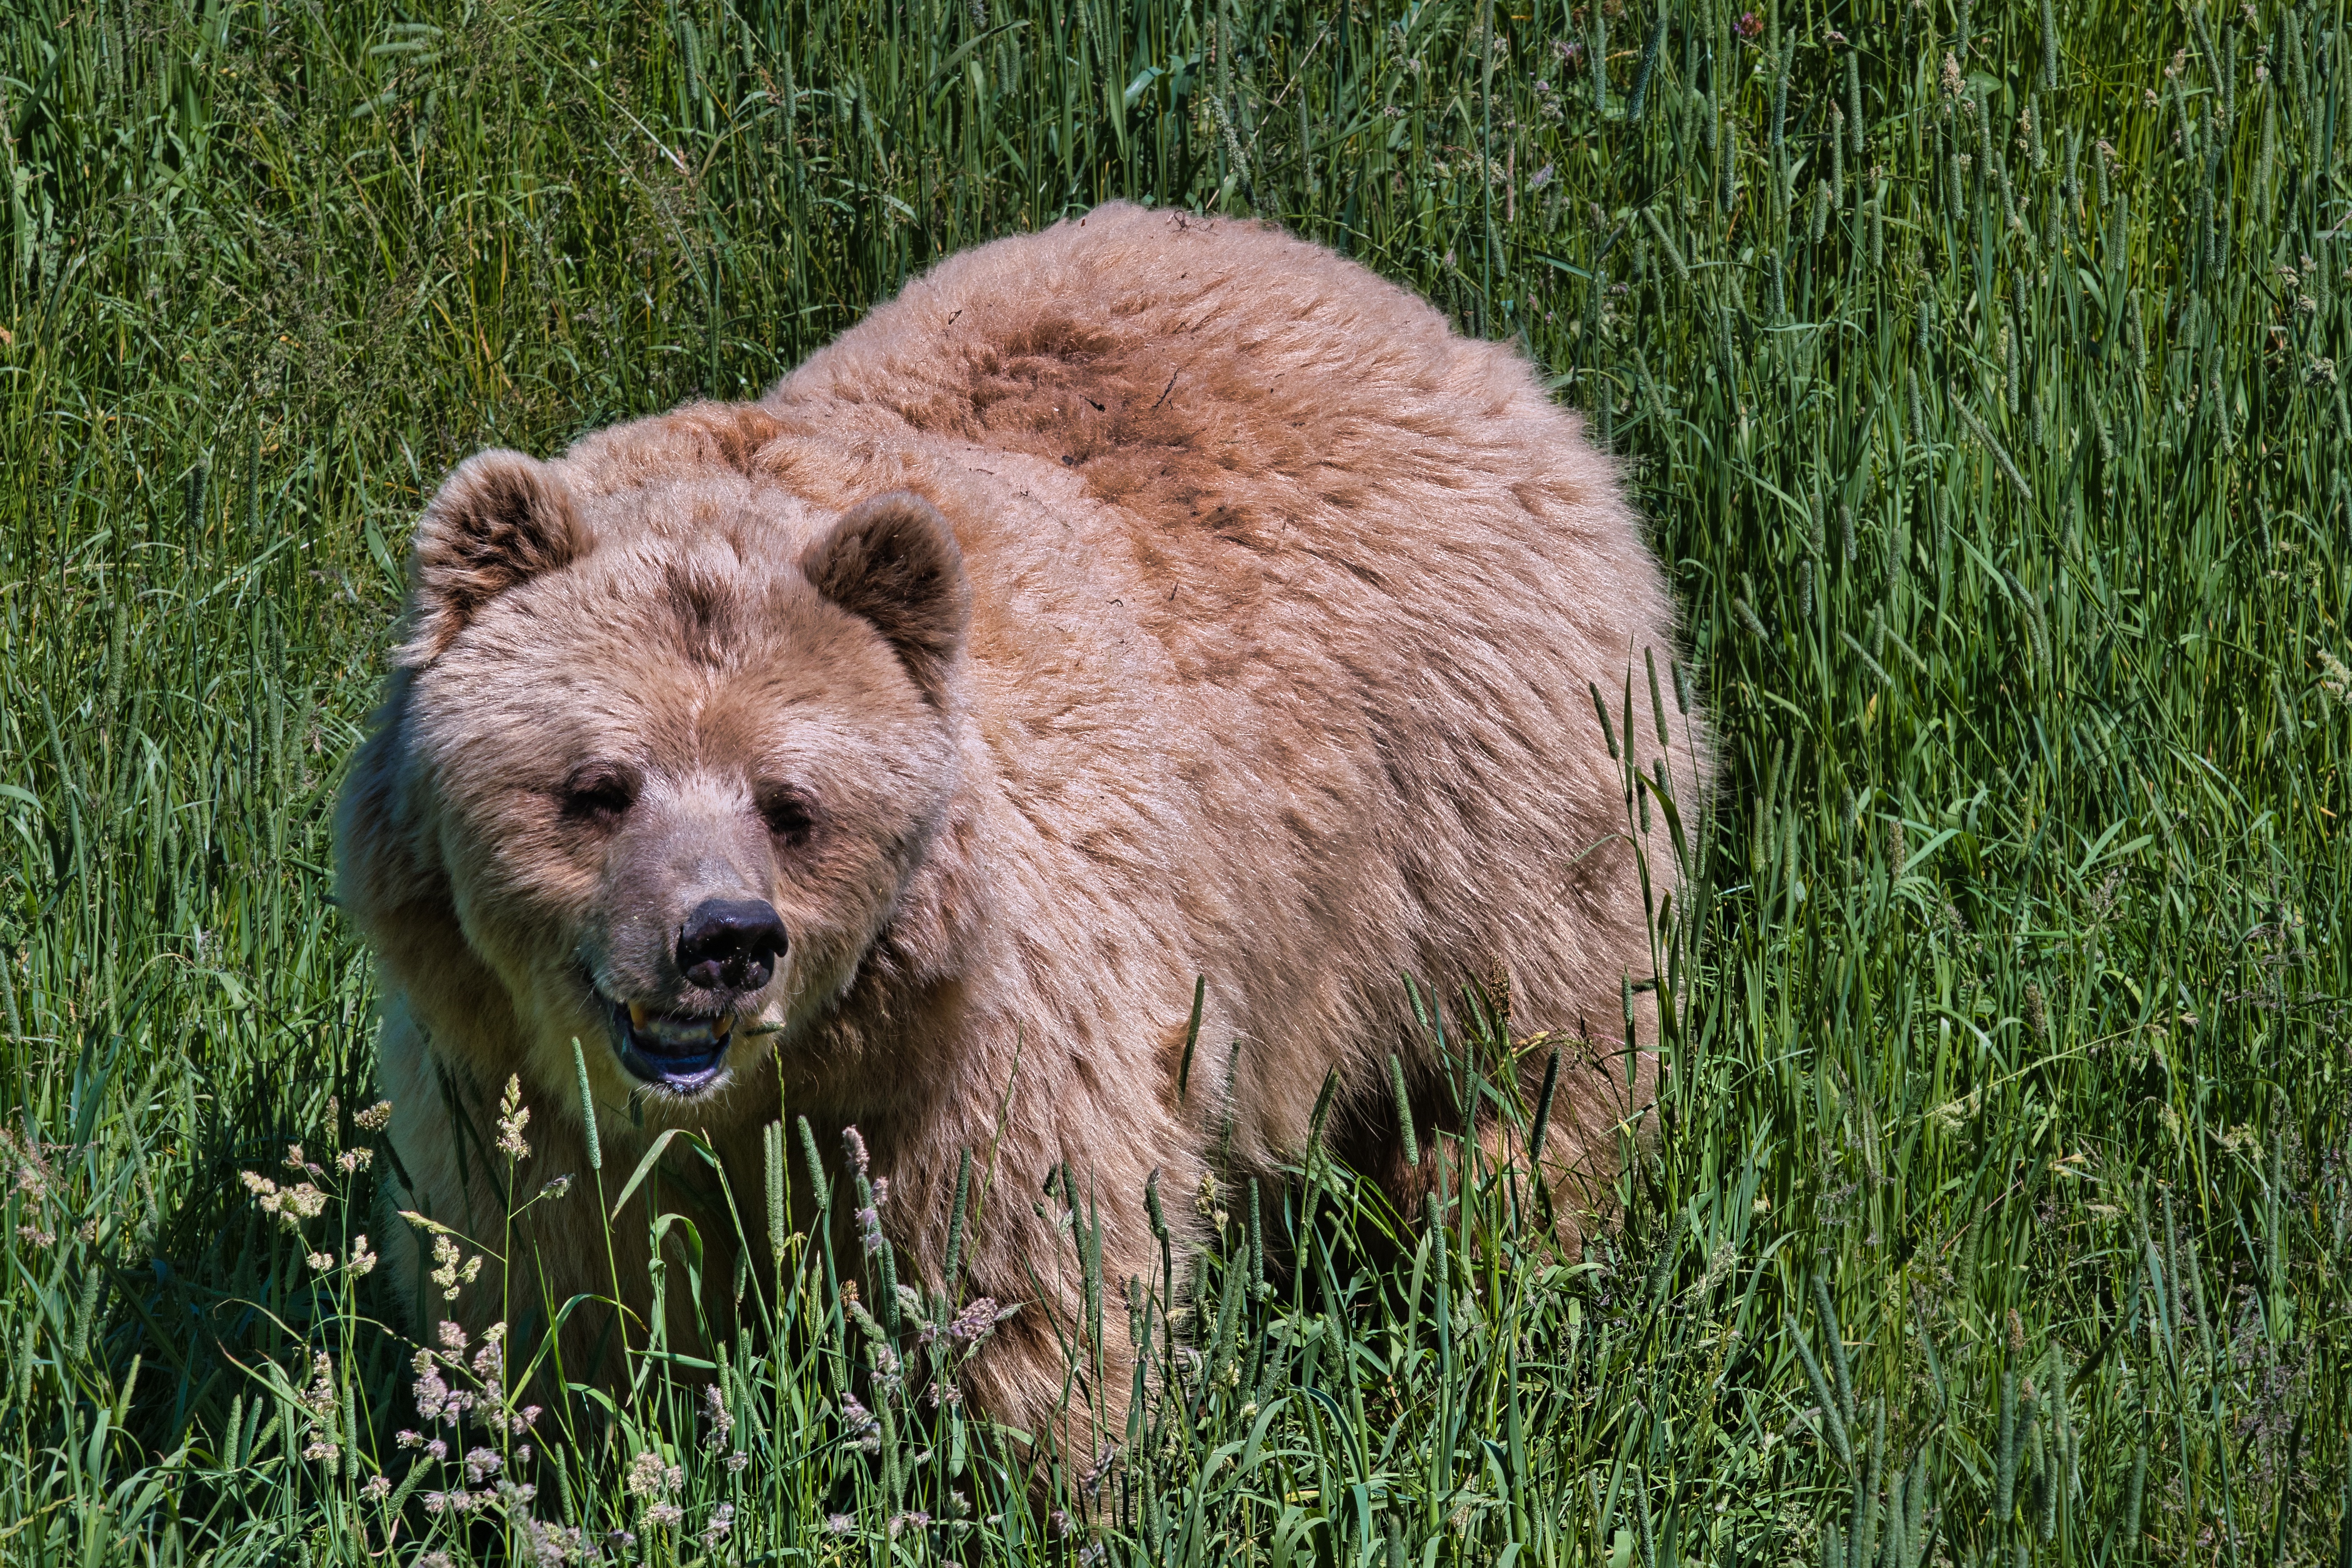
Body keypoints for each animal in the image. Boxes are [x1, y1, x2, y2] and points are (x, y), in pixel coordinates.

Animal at [336, 202, 1705, 1453]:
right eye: (600, 786)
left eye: (793, 805)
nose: (721, 941)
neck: (773, 1086)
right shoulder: (514, 1090)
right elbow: (548, 1290)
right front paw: (547, 1434)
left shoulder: (989, 1039)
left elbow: (1028, 1281)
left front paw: (1040, 1457)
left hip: (1477, 791)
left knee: (1524, 1064)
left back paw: (1515, 1260)